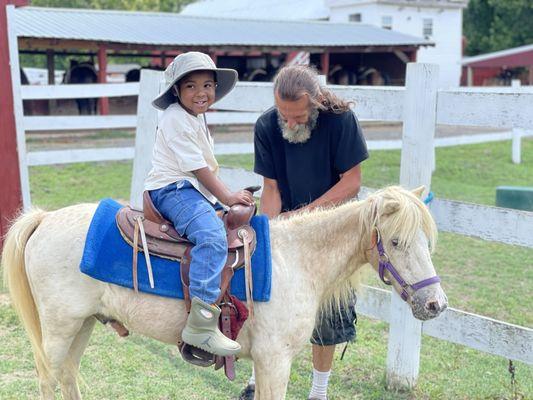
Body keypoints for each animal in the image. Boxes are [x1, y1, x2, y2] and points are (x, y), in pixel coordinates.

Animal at [2, 186, 446, 398]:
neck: (296, 259)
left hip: (83, 325)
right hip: (58, 329)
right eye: (397, 241)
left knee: (67, 376)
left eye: (427, 241)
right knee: (47, 378)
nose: (436, 304)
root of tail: (44, 219)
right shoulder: (273, 361)